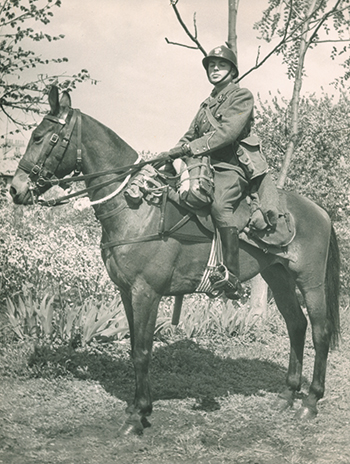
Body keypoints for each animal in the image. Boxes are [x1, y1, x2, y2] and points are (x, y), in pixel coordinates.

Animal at [10, 86, 340, 436]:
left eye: (41, 137)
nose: (15, 188)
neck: (137, 210)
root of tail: (319, 211)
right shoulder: (127, 293)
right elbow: (134, 347)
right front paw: (138, 408)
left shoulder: (146, 293)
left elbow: (142, 351)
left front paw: (138, 416)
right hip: (279, 278)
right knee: (296, 325)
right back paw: (288, 395)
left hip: (310, 282)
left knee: (319, 331)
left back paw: (310, 402)